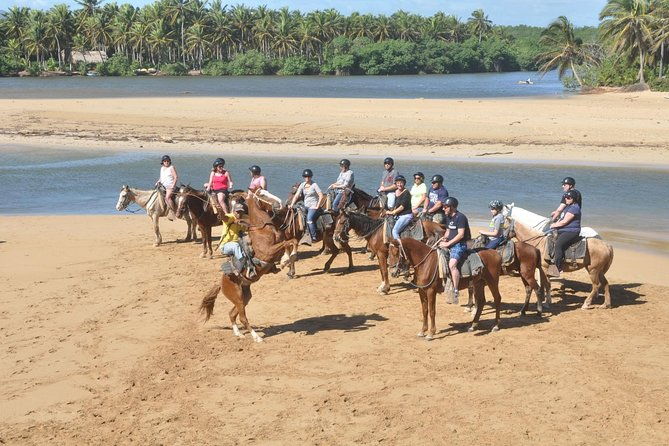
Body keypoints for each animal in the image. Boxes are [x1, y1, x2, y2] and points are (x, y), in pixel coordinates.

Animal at [199, 194, 296, 342]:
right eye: (262, 195)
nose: (282, 204)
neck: (262, 228)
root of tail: (221, 284)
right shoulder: (269, 252)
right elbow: (288, 243)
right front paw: (286, 260)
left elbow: (291, 242)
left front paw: (287, 260)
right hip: (238, 297)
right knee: (242, 318)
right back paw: (257, 337)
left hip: (245, 297)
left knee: (232, 314)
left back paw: (238, 333)